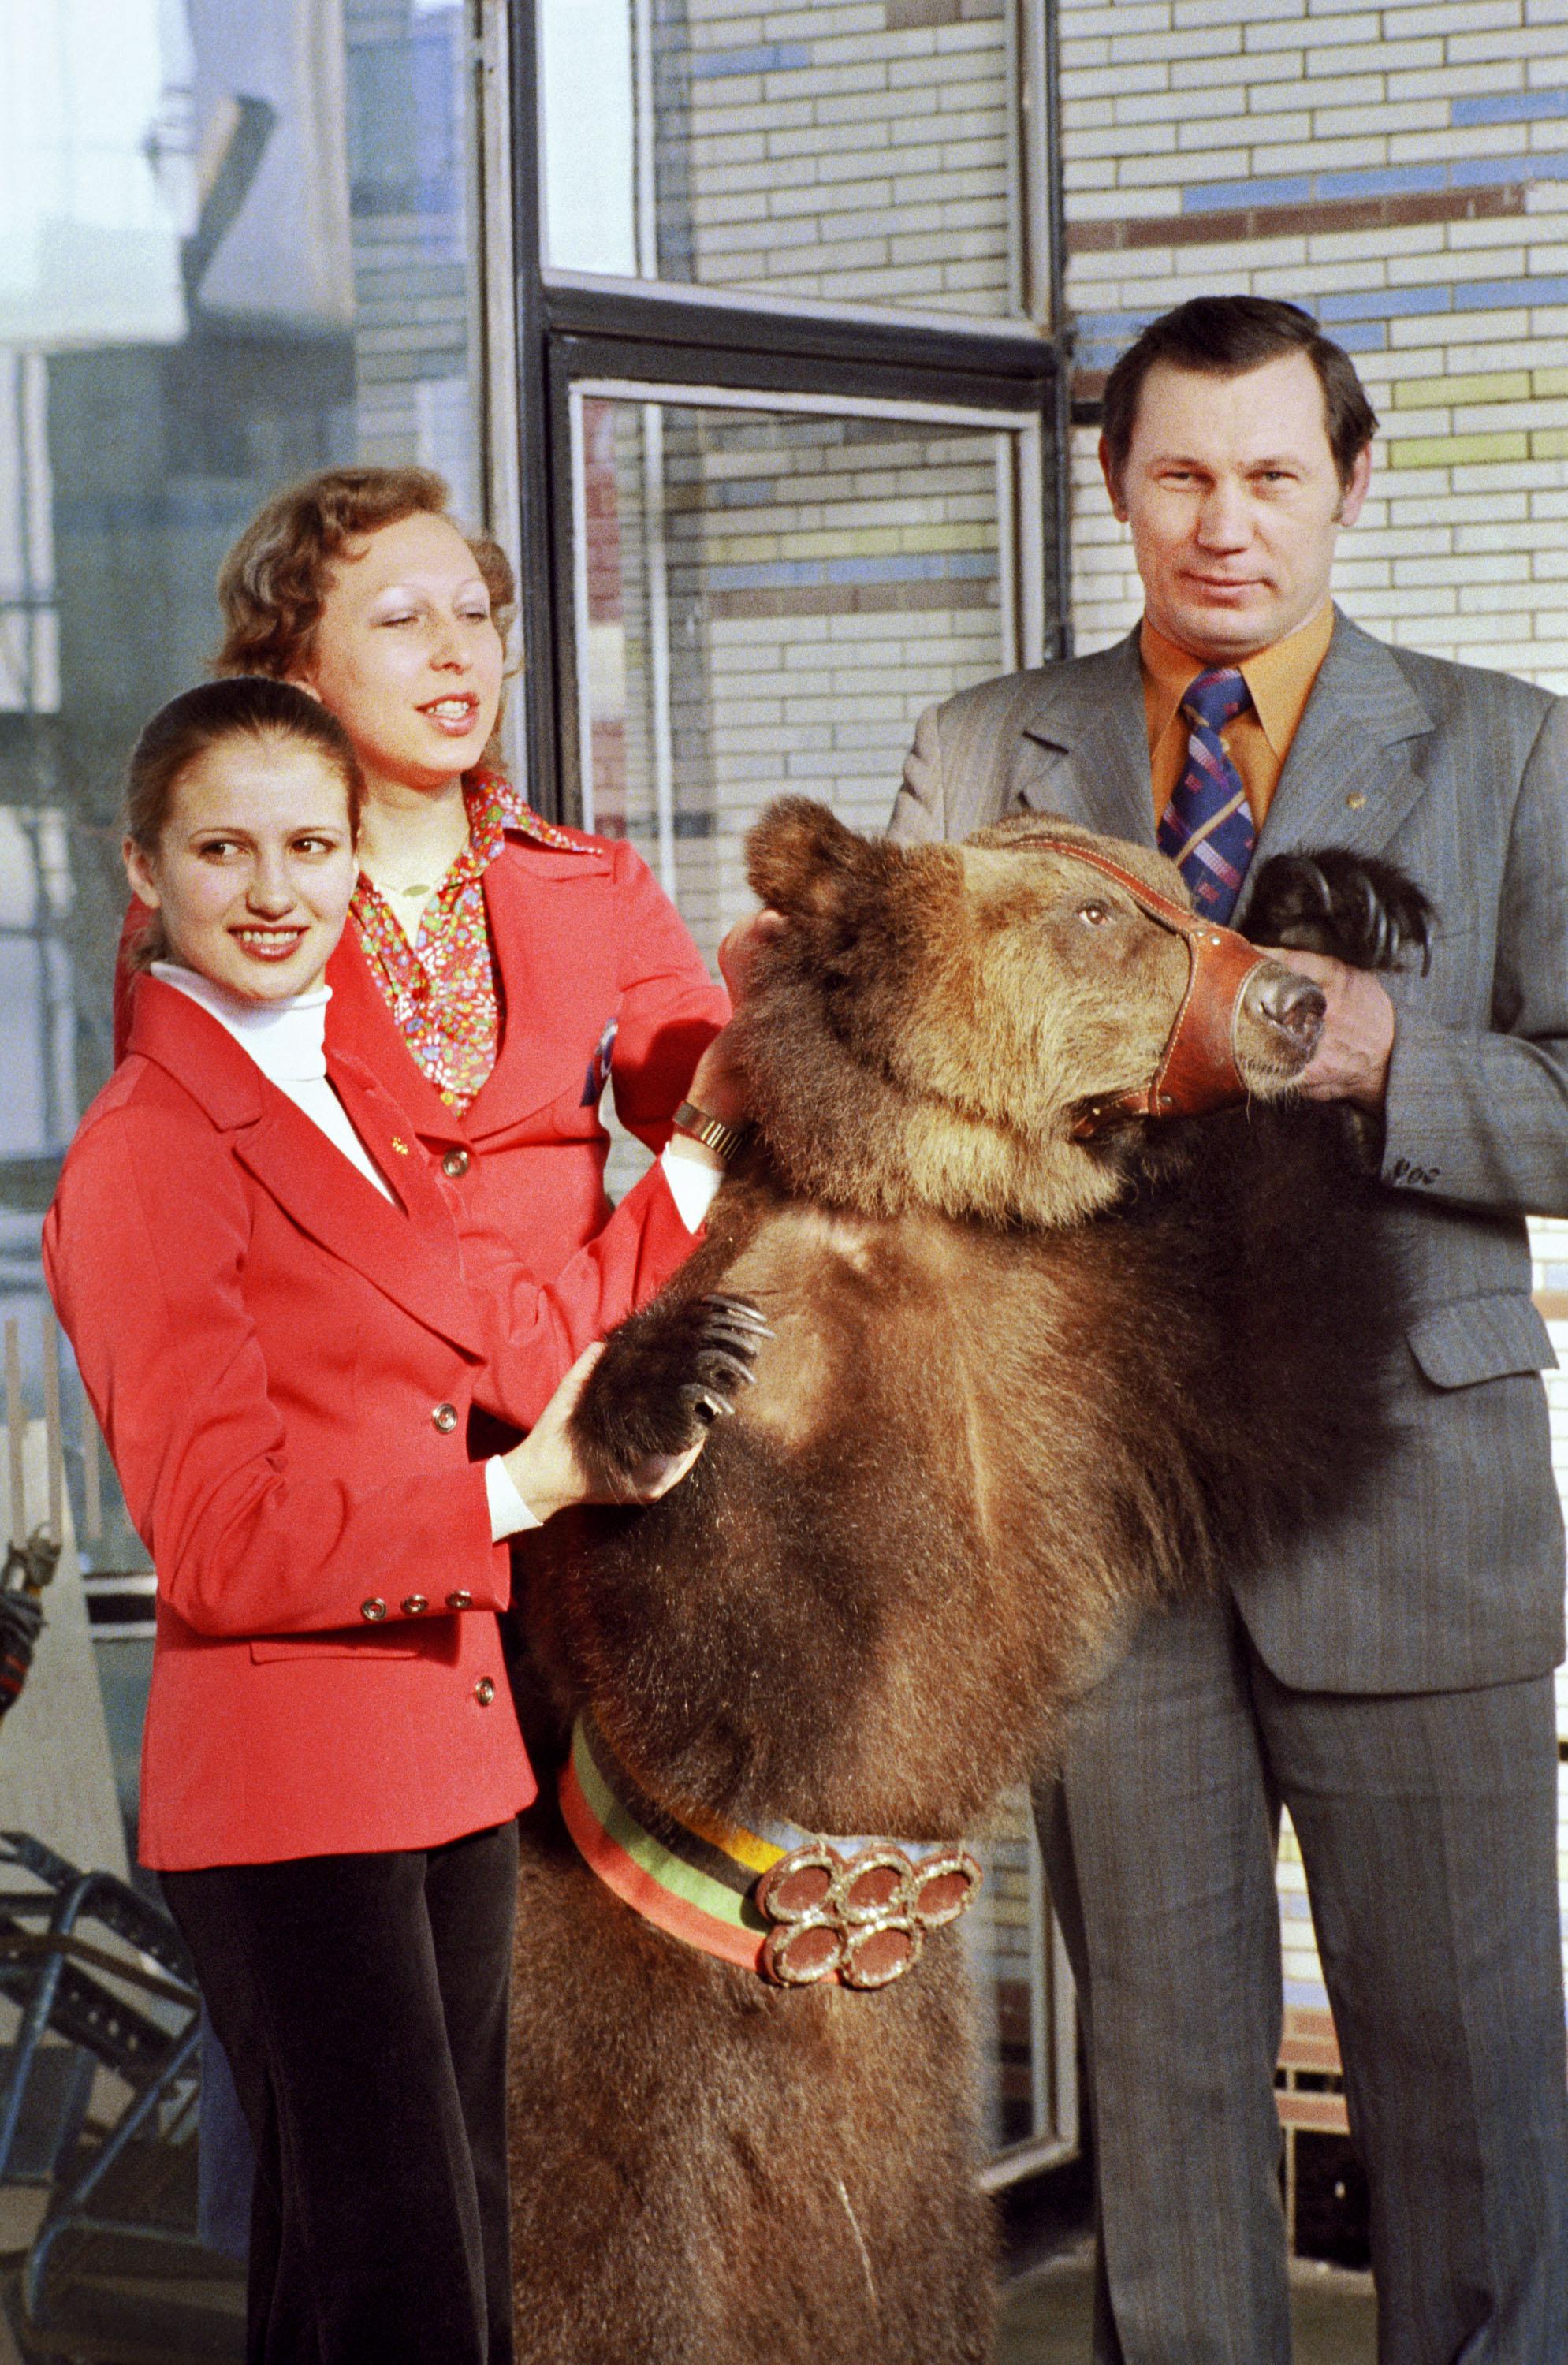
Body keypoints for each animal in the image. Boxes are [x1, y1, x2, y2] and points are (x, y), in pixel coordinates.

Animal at [506, 799, 1419, 2365]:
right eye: (1094, 915)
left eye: (1171, 886)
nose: (1285, 1007)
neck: (931, 1206)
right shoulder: (814, 1364)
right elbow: (729, 1646)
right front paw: (664, 1387)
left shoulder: (1099, 1342)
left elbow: (1286, 1329)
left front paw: (1337, 907)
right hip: (620, 2123)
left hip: (907, 2198)